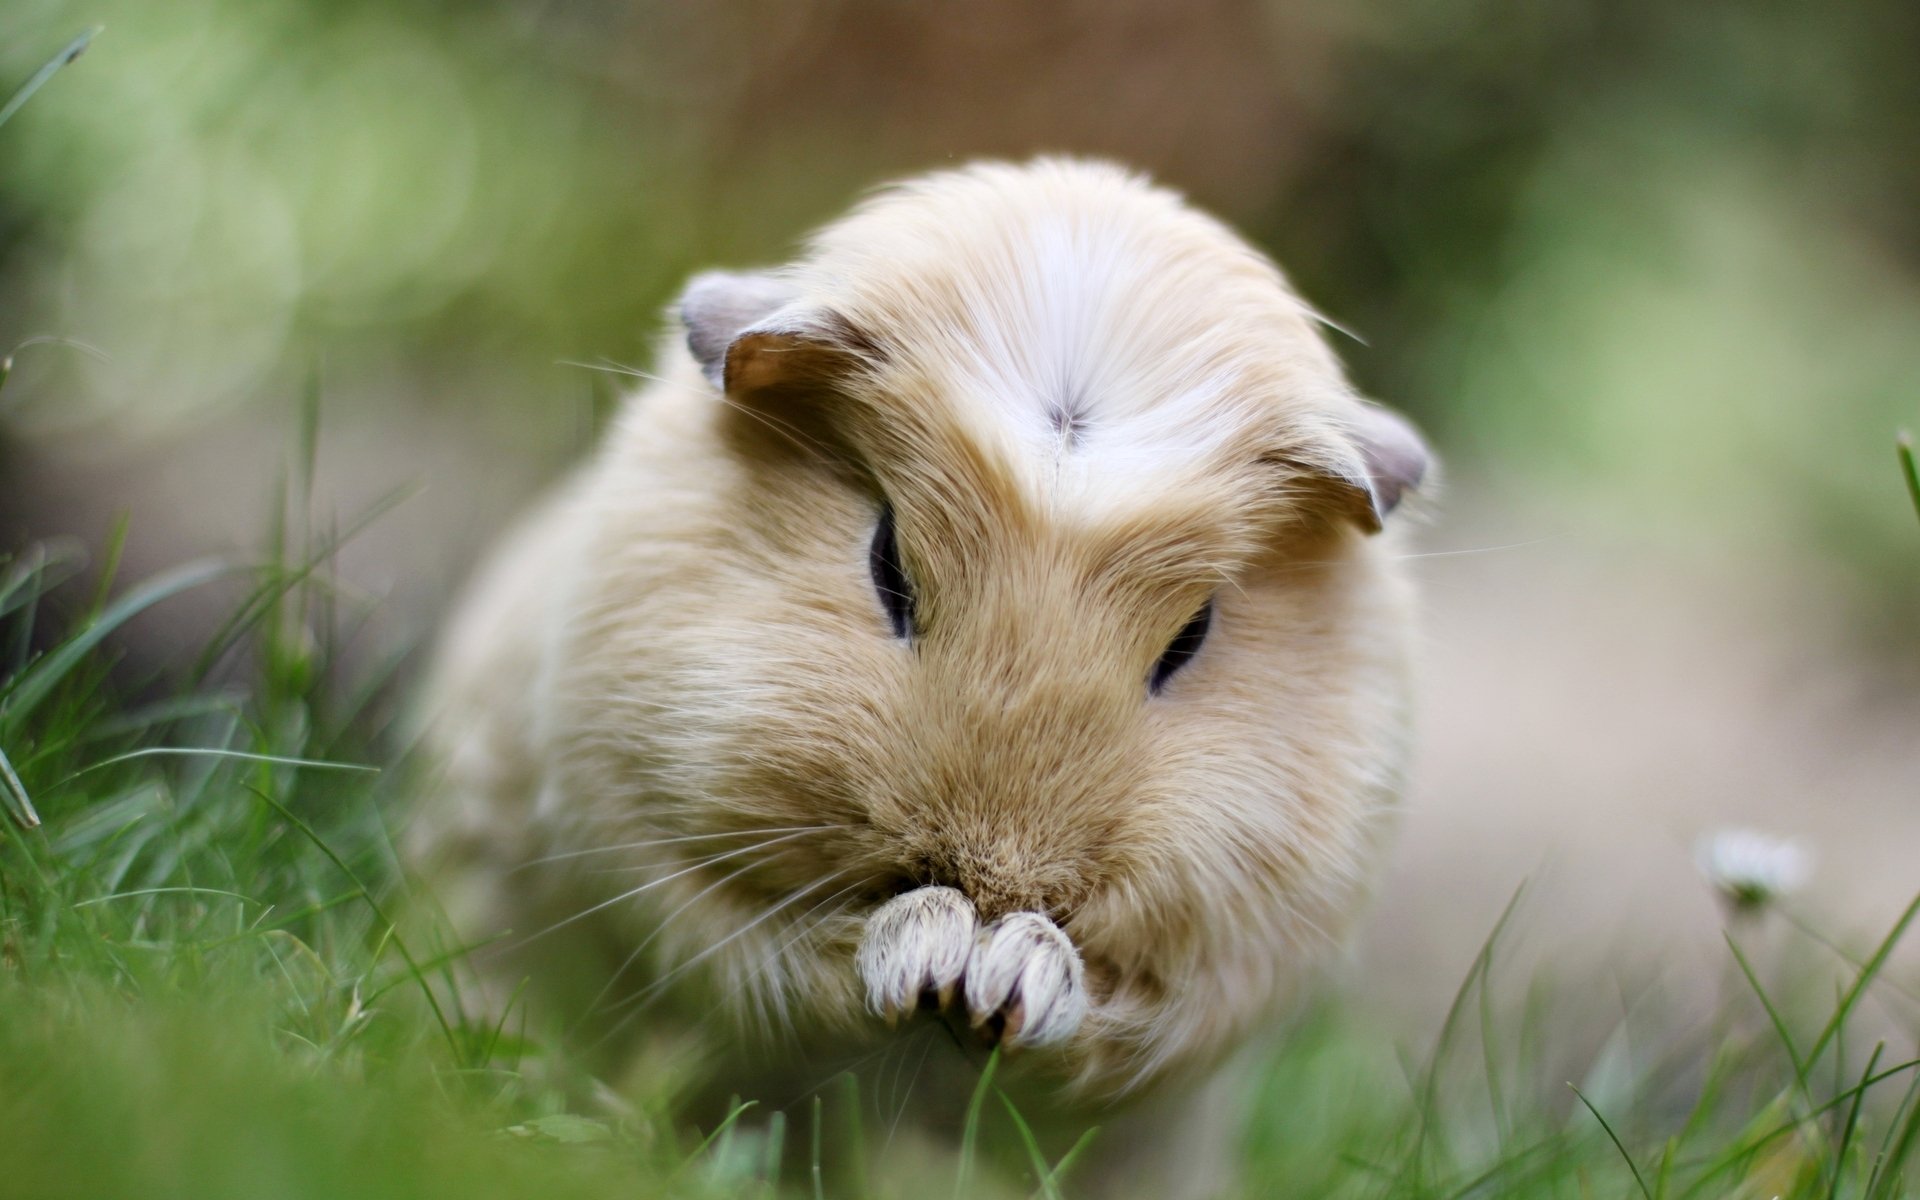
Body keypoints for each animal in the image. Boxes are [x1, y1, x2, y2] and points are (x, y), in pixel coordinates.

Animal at [410, 158, 1430, 1195]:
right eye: (887, 562)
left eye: (1193, 634)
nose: (995, 872)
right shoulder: (642, 846)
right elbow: (772, 954)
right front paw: (936, 954)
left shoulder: (1237, 973)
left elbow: (1124, 1023)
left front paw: (1006, 978)